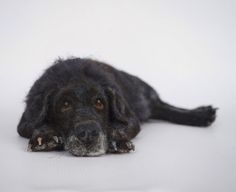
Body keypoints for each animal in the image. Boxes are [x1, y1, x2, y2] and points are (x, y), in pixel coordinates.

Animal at [17, 57, 218, 157]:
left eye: (100, 103)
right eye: (65, 104)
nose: (88, 133)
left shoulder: (131, 118)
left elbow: (123, 128)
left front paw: (116, 139)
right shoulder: (25, 122)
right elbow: (36, 127)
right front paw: (46, 137)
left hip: (143, 95)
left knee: (164, 107)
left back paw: (202, 115)